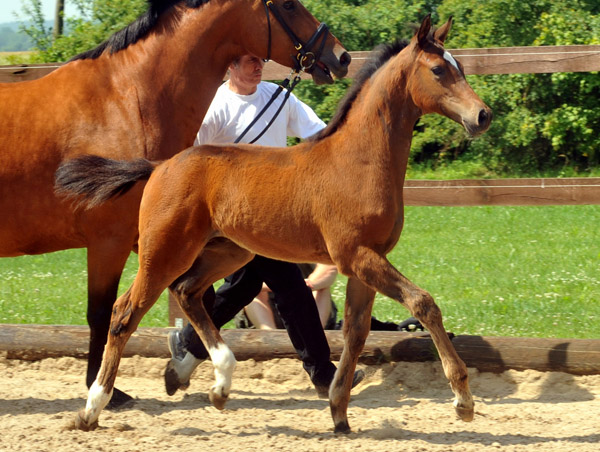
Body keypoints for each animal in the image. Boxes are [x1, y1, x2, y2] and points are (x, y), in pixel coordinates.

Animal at [0, 0, 350, 408]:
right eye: (289, 5)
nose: (340, 56)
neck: (126, 101)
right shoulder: (110, 241)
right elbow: (103, 313)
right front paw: (104, 391)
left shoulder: (163, 238)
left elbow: (197, 295)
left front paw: (183, 367)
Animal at [54, 16, 490, 434]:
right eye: (438, 70)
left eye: (459, 65)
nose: (482, 115)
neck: (359, 160)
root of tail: (160, 166)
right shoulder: (356, 255)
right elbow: (423, 303)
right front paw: (463, 401)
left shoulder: (366, 262)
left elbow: (355, 332)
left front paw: (339, 414)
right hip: (163, 252)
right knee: (124, 313)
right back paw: (92, 409)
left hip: (229, 252)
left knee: (188, 293)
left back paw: (220, 384)